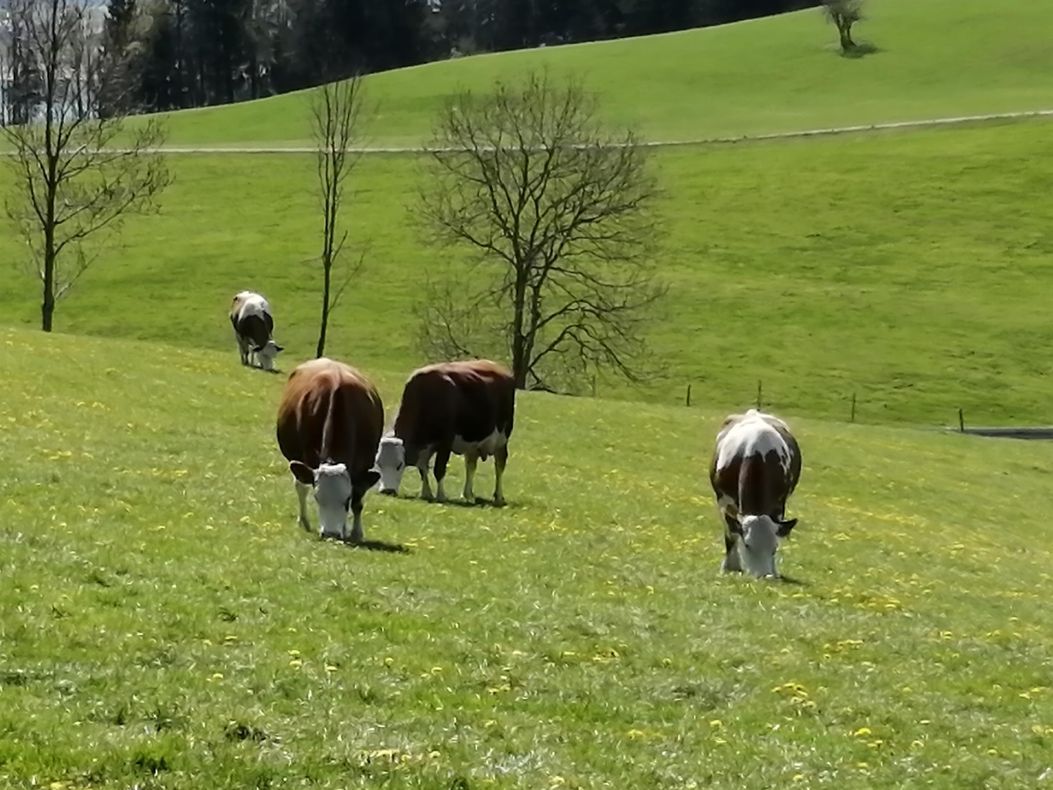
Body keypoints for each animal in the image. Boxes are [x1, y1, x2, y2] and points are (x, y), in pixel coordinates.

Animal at [275, 357, 384, 542]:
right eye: (318, 498)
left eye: (346, 499)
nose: (330, 534)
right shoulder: (307, 455)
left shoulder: (365, 464)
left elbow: (358, 499)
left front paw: (355, 532)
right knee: (300, 486)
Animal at [374, 360, 515, 506]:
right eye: (378, 463)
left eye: (399, 464)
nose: (387, 491)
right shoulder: (425, 447)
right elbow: (422, 468)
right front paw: (426, 493)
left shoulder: (445, 442)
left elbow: (439, 469)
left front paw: (441, 495)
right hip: (472, 444)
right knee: (470, 465)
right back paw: (467, 494)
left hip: (502, 439)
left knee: (499, 465)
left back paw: (499, 496)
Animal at [709, 409, 802, 578]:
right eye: (747, 545)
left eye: (774, 548)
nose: (764, 576)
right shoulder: (724, 501)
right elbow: (730, 534)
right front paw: (729, 566)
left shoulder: (779, 503)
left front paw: (774, 571)